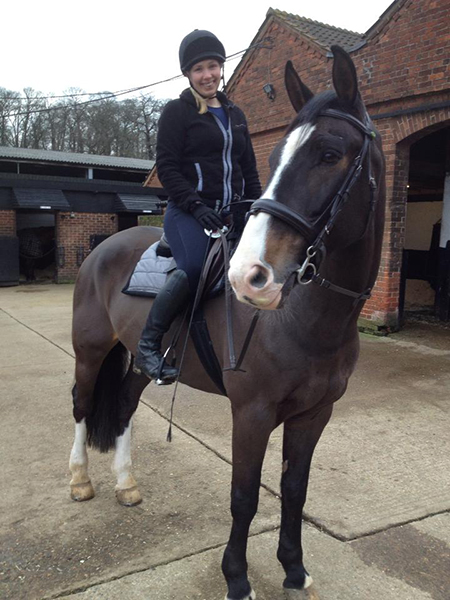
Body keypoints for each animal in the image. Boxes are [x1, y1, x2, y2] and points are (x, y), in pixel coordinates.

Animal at [71, 48, 386, 600]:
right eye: (277, 155)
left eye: (329, 153)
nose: (249, 276)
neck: (302, 317)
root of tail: (103, 248)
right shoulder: (252, 413)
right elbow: (245, 497)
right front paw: (237, 578)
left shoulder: (314, 415)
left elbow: (294, 490)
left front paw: (294, 569)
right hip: (90, 352)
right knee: (82, 405)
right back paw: (80, 482)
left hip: (141, 363)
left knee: (125, 405)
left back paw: (127, 484)